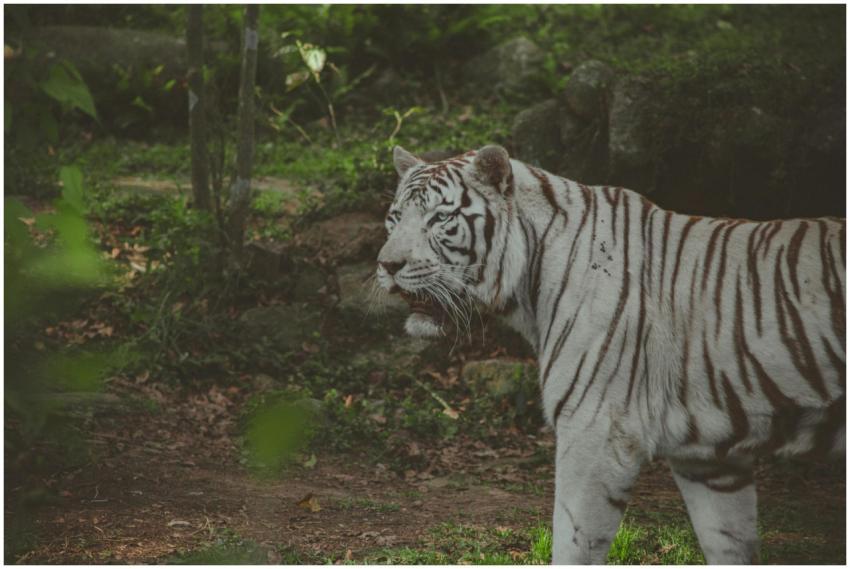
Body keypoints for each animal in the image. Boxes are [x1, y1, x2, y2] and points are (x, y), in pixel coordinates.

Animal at [375, 144, 845, 564]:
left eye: (440, 219)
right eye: (394, 218)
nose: (387, 265)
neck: (530, 282)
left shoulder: (597, 431)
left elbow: (571, 544)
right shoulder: (709, 457)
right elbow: (730, 544)